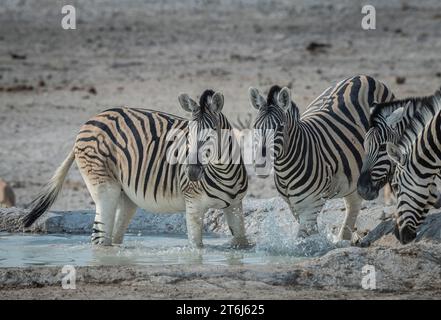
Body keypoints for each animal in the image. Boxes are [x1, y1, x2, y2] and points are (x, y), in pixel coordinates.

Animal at [22, 89, 249, 249]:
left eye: (211, 135)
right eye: (187, 135)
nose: (191, 173)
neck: (223, 172)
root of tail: (91, 120)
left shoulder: (235, 205)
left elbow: (241, 242)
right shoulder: (193, 204)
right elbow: (197, 247)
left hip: (126, 195)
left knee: (113, 236)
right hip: (104, 185)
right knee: (99, 237)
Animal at [248, 75, 392, 240]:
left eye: (280, 127)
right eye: (255, 126)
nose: (261, 164)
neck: (285, 171)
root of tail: (364, 77)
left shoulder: (312, 204)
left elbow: (303, 238)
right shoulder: (294, 206)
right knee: (353, 203)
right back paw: (342, 240)